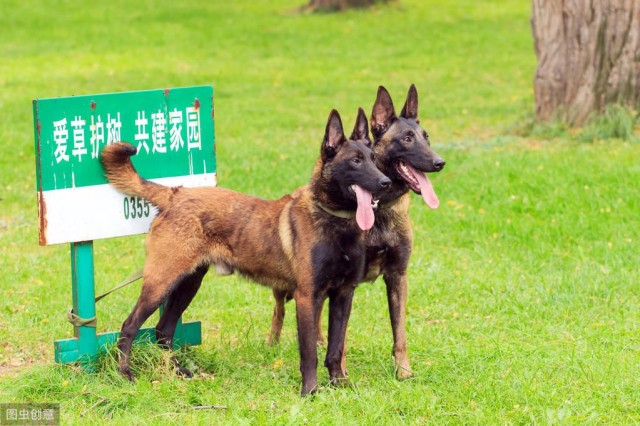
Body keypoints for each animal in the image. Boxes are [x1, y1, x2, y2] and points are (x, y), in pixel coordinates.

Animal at [100, 108, 390, 394]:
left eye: (374, 159)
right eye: (355, 161)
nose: (386, 182)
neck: (334, 221)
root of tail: (176, 194)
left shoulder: (343, 296)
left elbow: (335, 347)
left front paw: (339, 383)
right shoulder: (308, 298)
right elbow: (310, 352)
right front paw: (310, 391)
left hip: (188, 283)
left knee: (163, 330)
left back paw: (179, 373)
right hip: (162, 282)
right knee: (129, 326)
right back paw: (124, 373)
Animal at [268, 84, 444, 380]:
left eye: (426, 137)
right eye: (407, 139)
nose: (439, 162)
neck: (378, 211)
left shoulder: (397, 276)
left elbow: (399, 331)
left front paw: (403, 370)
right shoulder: (348, 283)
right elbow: (342, 337)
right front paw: (341, 371)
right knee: (279, 309)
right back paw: (273, 341)